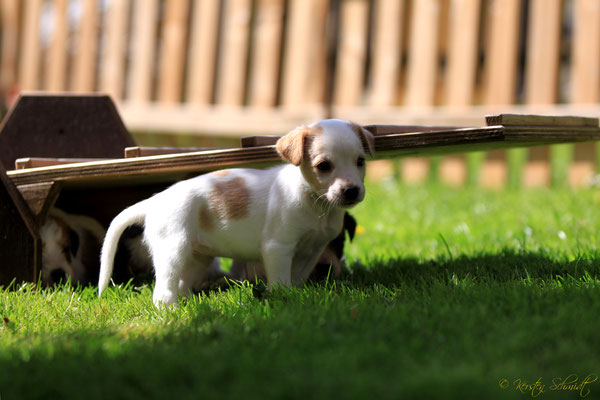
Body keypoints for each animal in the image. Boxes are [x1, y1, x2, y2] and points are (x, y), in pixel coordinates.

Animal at [98, 119, 372, 306]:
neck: (316, 204)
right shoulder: (278, 247)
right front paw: (283, 298)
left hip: (198, 258)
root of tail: (154, 201)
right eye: (323, 166)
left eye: (360, 161)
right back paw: (172, 310)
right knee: (163, 291)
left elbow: (297, 278)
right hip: (172, 252)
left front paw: (298, 295)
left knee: (183, 284)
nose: (351, 191)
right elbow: (281, 281)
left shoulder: (312, 251)